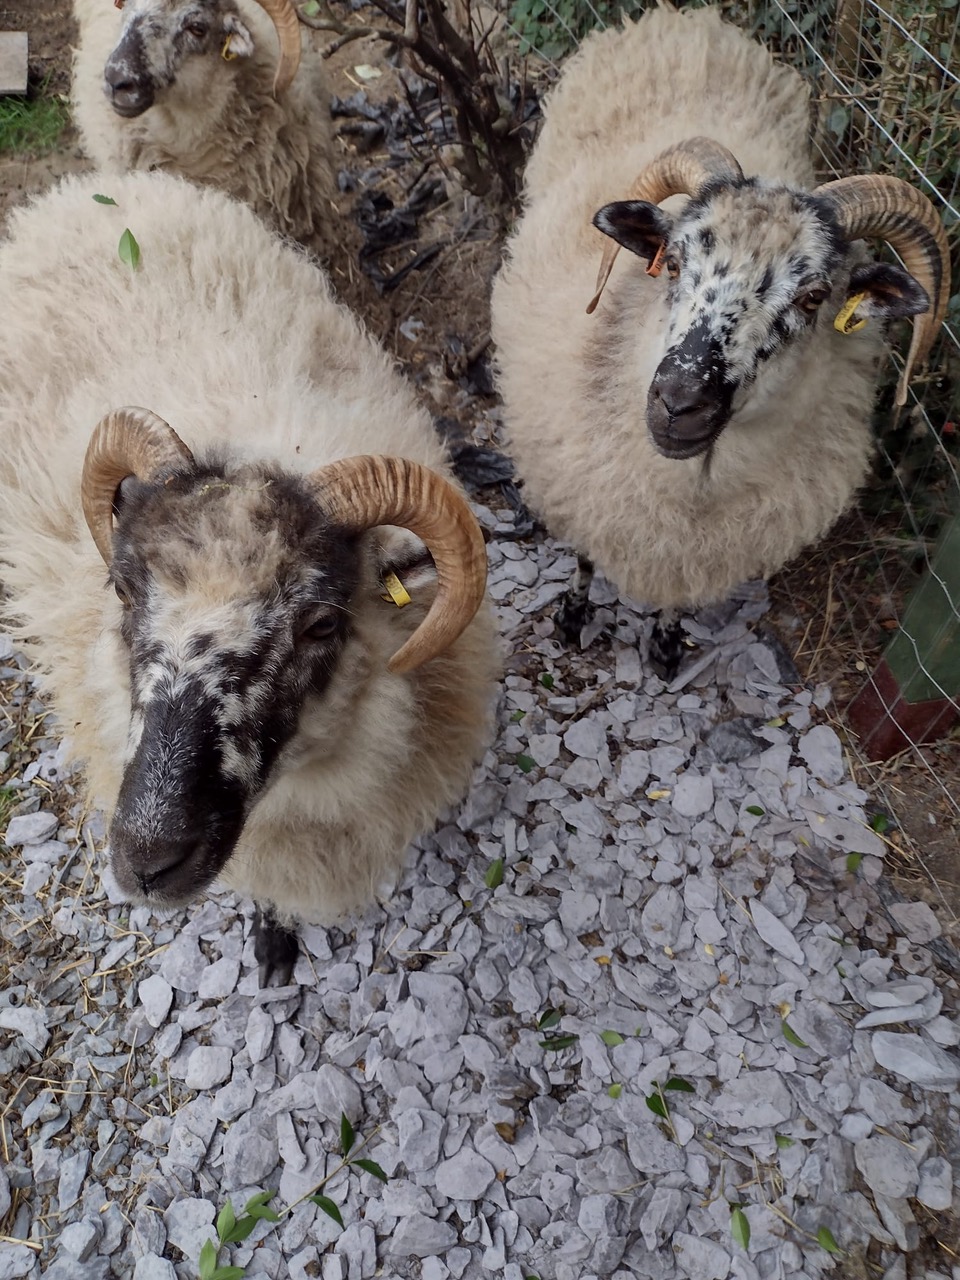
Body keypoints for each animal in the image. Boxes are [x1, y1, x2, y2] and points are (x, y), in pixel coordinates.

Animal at [491, 4, 950, 679]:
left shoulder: (703, 545)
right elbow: (585, 554)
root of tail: (688, 19)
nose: (678, 404)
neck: (695, 489)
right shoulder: (581, 479)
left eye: (815, 297)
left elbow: (679, 594)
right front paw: (572, 616)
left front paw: (665, 646)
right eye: (674, 262)